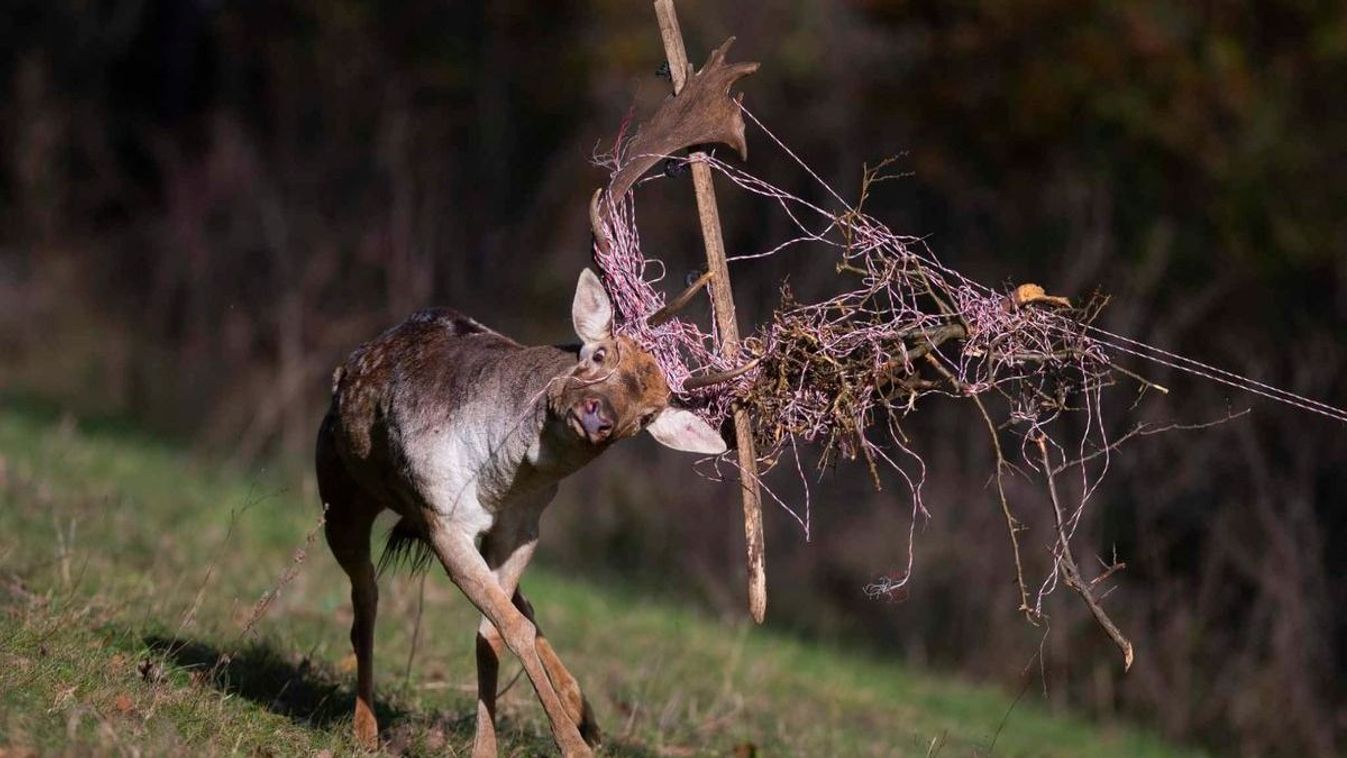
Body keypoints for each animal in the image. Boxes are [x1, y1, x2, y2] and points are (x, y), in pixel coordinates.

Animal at [313, 269, 727, 753]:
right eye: (600, 354)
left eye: (647, 417)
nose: (596, 416)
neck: (501, 478)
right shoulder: (441, 518)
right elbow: (510, 627)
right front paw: (573, 748)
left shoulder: (522, 530)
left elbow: (495, 631)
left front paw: (491, 748)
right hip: (339, 491)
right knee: (366, 595)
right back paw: (365, 729)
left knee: (517, 602)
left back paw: (586, 714)